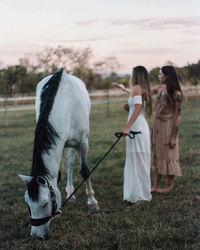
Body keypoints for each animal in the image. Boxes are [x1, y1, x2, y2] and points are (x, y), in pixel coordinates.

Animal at [18, 68, 99, 238]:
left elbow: (85, 171)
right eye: (27, 203)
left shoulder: (83, 143)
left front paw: (92, 202)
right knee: (68, 164)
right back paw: (70, 193)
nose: (37, 236)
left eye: (45, 204)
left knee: (71, 163)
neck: (66, 104)